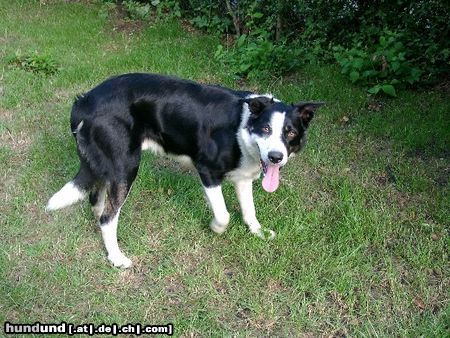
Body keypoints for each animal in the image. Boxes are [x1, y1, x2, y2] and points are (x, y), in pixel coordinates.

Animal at [46, 73, 324, 266]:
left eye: (290, 133)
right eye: (266, 129)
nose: (276, 157)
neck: (242, 126)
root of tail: (84, 101)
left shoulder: (244, 177)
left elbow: (249, 211)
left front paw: (258, 232)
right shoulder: (207, 171)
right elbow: (224, 214)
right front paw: (215, 228)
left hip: (109, 165)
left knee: (97, 198)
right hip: (126, 166)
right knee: (108, 217)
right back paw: (116, 257)